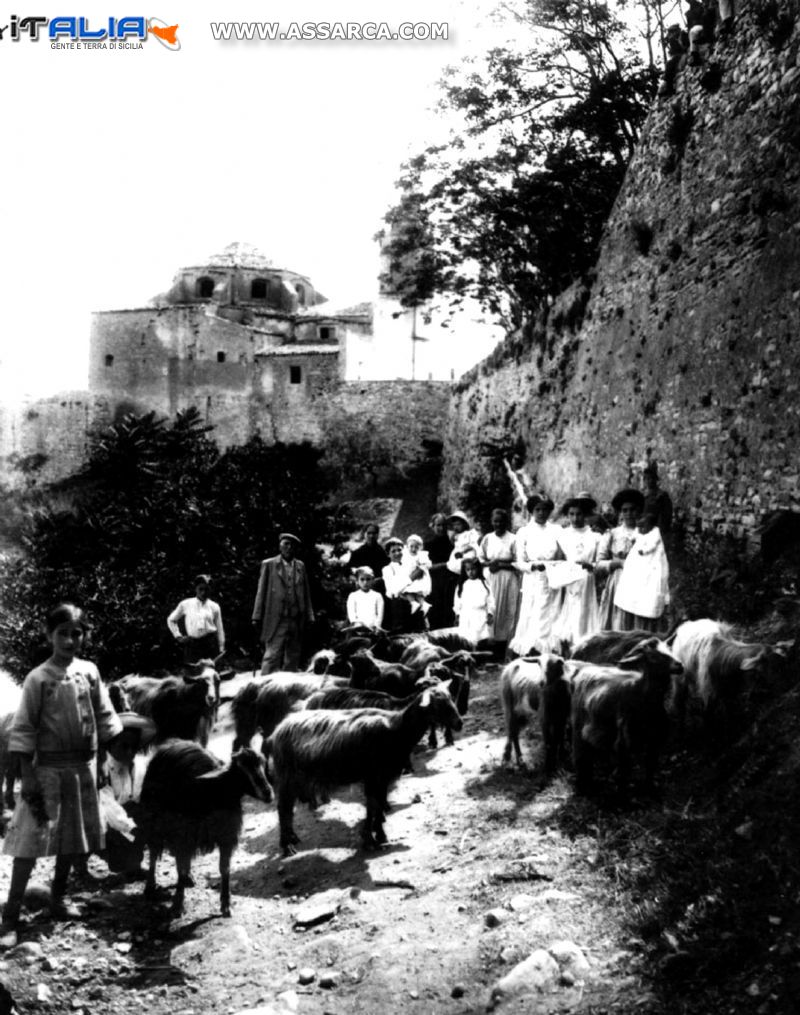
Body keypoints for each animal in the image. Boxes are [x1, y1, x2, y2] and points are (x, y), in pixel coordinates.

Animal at [140, 738, 272, 921]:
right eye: (240, 771)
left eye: (263, 764)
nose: (268, 793)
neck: (213, 791)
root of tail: (172, 743)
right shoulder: (183, 835)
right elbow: (179, 868)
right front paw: (177, 905)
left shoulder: (226, 836)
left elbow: (224, 868)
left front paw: (226, 905)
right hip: (153, 822)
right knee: (153, 853)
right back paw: (150, 886)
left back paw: (189, 878)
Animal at [272, 682, 462, 856]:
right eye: (438, 704)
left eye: (451, 698)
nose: (459, 723)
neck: (398, 729)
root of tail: (280, 728)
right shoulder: (372, 775)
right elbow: (373, 806)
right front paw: (371, 838)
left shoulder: (382, 777)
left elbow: (376, 805)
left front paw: (378, 834)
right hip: (287, 775)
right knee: (283, 809)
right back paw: (287, 846)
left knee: (289, 809)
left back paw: (293, 837)